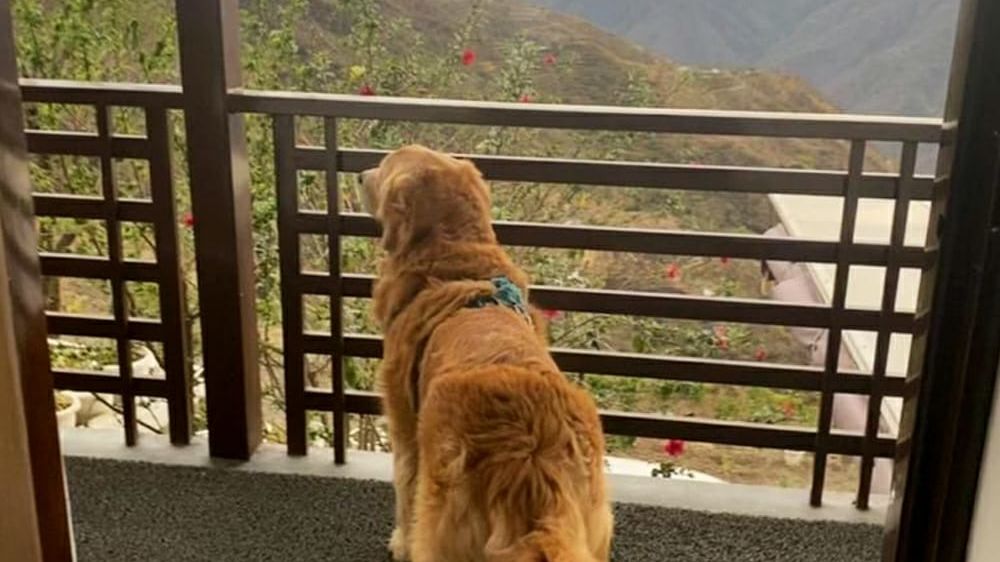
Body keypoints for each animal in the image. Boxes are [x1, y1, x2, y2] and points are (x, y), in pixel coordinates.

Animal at [360, 145, 608, 560]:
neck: (454, 263)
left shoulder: (405, 426)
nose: (360, 174)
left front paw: (398, 542)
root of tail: (531, 459)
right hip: (593, 524)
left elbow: (404, 489)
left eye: (384, 165)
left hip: (443, 525)